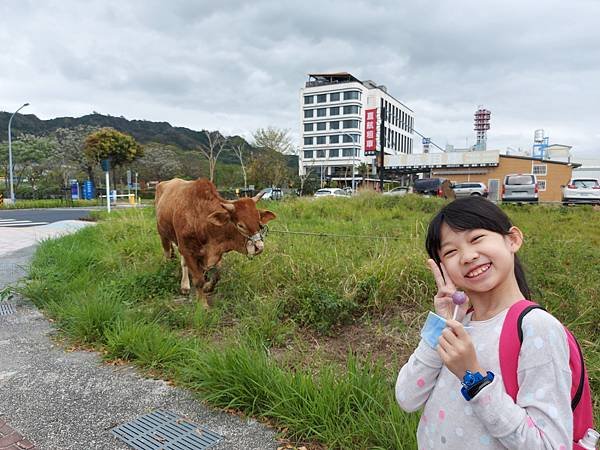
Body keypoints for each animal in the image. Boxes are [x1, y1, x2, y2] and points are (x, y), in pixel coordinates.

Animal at [155, 178, 276, 308]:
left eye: (259, 222)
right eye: (240, 225)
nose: (259, 247)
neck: (199, 218)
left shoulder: (217, 250)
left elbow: (217, 275)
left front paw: (208, 287)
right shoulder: (187, 250)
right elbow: (198, 280)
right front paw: (203, 303)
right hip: (163, 235)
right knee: (169, 254)